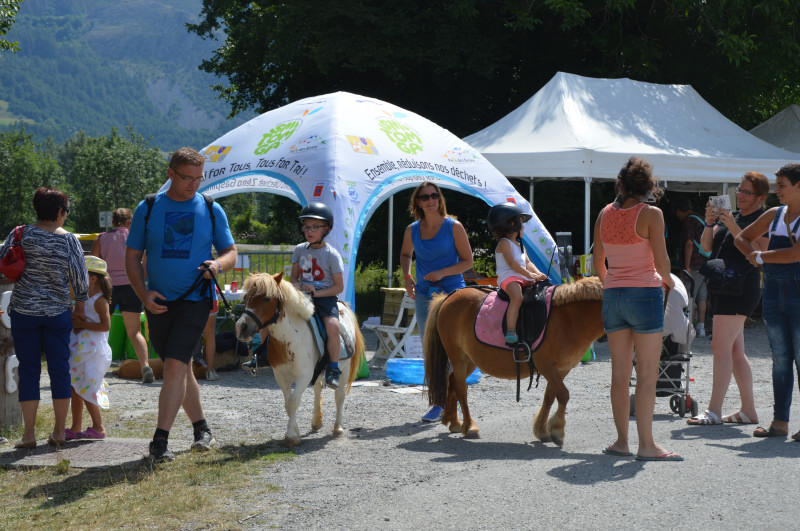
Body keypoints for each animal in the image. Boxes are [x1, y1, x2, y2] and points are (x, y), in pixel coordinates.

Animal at [424, 276, 600, 446]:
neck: (567, 318)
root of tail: (448, 297)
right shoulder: (548, 367)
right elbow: (563, 395)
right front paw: (557, 431)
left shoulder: (561, 369)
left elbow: (550, 396)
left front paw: (542, 430)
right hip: (458, 357)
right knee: (461, 388)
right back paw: (470, 427)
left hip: (470, 359)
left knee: (452, 381)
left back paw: (454, 422)